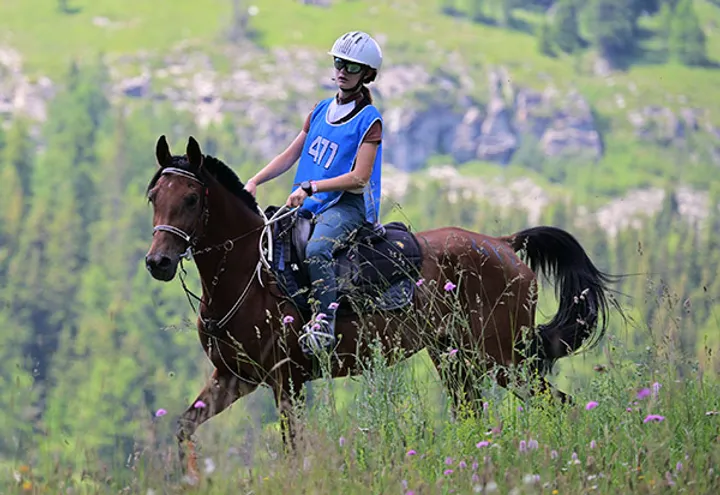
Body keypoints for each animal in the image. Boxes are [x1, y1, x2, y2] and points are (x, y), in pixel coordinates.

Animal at [143, 136, 616, 480]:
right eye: (154, 196)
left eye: (191, 199)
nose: (158, 262)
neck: (250, 276)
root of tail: (504, 245)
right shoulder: (234, 377)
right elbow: (185, 427)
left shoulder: (287, 380)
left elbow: (293, 448)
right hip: (456, 360)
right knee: (474, 417)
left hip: (504, 359)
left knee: (560, 405)